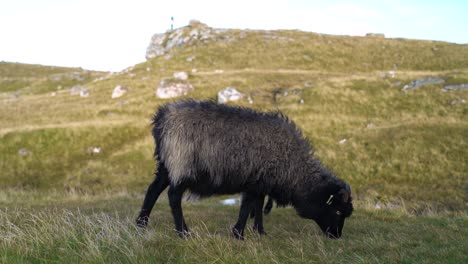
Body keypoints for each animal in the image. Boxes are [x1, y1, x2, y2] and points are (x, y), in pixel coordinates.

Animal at [135, 99, 352, 239]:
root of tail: (162, 118)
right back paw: (183, 232)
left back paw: (141, 224)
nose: (337, 236)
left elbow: (257, 206)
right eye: (338, 211)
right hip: (182, 165)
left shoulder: (262, 183)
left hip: (166, 165)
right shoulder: (254, 181)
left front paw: (260, 232)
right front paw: (239, 234)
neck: (293, 167)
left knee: (153, 190)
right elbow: (247, 207)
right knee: (173, 196)